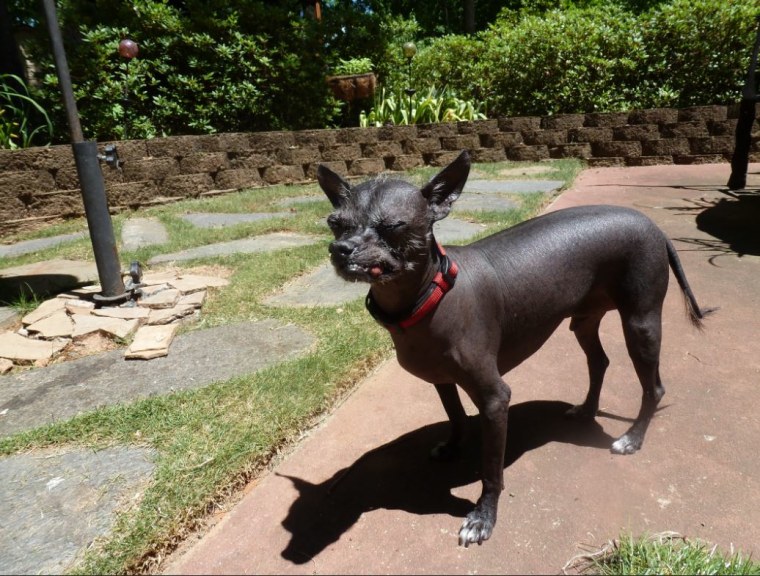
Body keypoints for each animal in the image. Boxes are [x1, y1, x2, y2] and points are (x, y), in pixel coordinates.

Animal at [316, 151, 712, 548]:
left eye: (393, 226)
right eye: (335, 223)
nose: (340, 249)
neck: (428, 296)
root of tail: (654, 226)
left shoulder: (495, 400)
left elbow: (491, 470)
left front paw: (483, 518)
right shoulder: (442, 381)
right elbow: (456, 416)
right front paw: (453, 447)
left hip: (640, 324)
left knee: (653, 387)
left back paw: (632, 439)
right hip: (583, 321)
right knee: (599, 362)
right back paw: (586, 409)